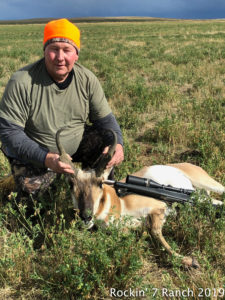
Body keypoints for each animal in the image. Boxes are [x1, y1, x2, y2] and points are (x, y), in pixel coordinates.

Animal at [55, 127, 223, 268]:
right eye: (71, 184)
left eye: (100, 183)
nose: (85, 216)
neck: (118, 201)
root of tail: (181, 165)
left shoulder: (159, 207)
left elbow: (154, 231)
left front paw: (189, 260)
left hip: (211, 187)